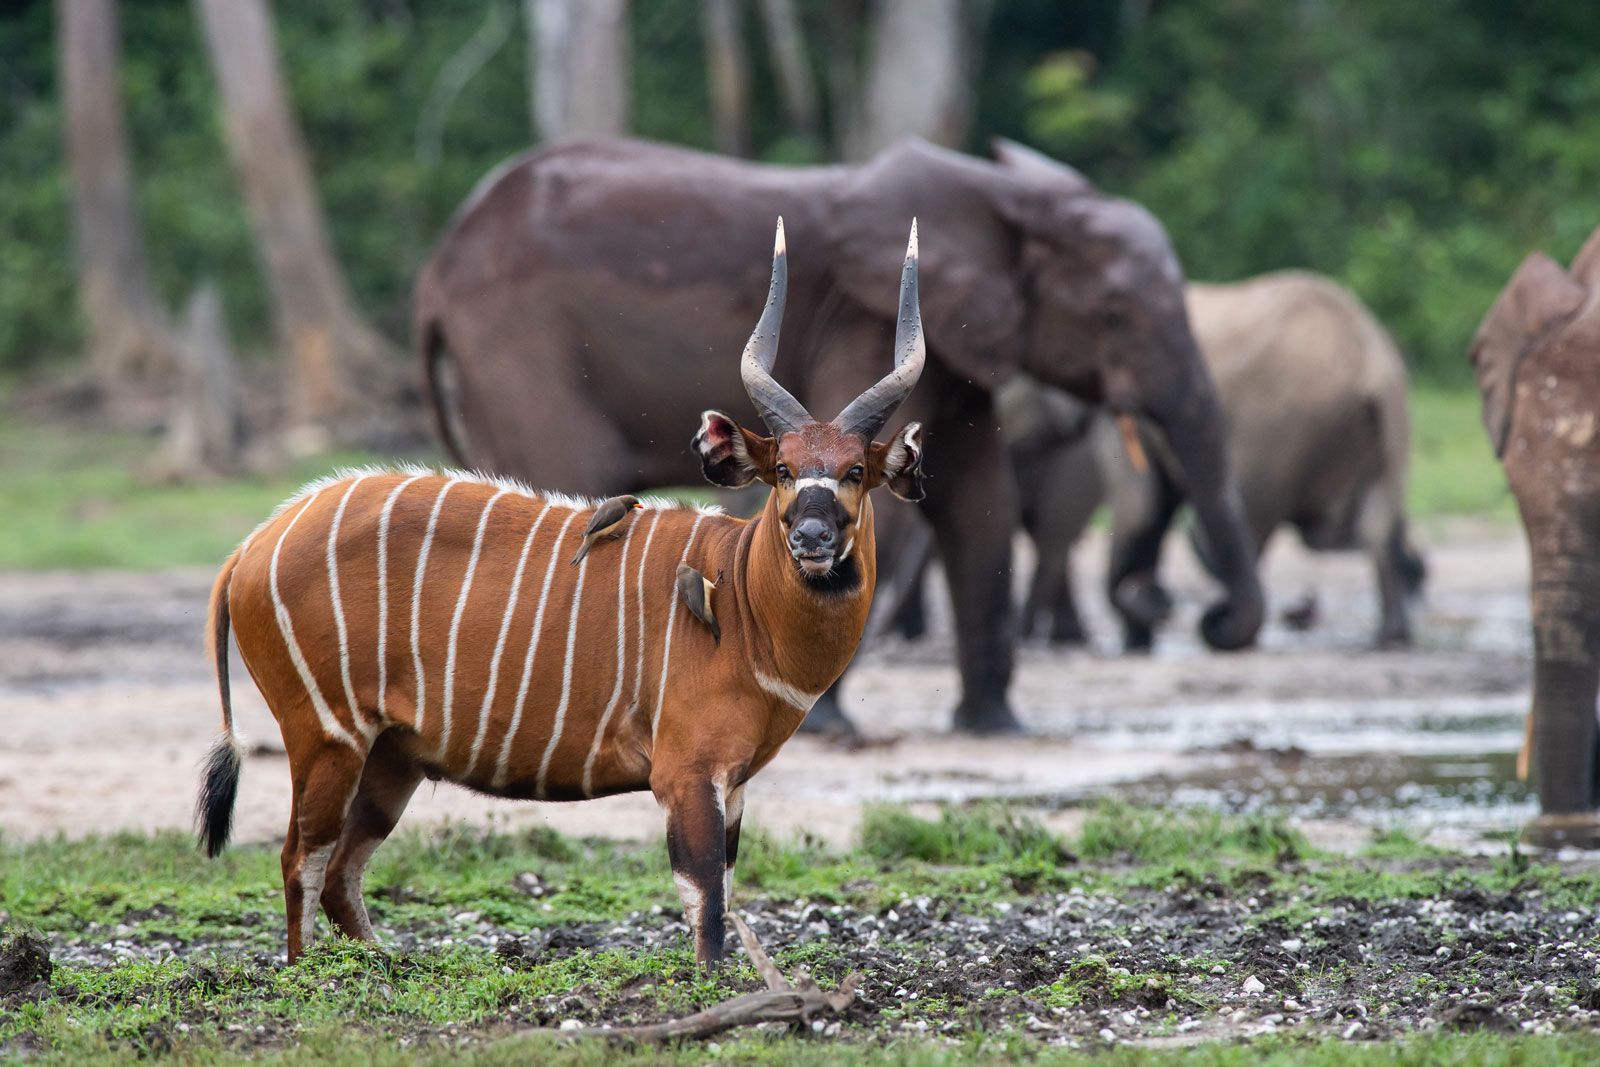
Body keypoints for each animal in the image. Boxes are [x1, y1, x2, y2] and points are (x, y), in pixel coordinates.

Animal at [196, 217, 928, 966]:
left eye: (855, 472)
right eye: (782, 468)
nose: (811, 536)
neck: (742, 601)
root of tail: (251, 547)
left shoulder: (736, 780)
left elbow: (720, 889)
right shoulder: (687, 772)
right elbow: (705, 902)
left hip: (389, 758)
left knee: (342, 869)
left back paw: (385, 963)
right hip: (326, 736)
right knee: (300, 859)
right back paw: (309, 974)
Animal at [412, 135, 1260, 735]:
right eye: (1115, 313)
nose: (1212, 621)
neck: (1010, 198)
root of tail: (435, 271)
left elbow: (980, 503)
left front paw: (995, 725)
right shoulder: (863, 318)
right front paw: (830, 724)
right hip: (521, 348)